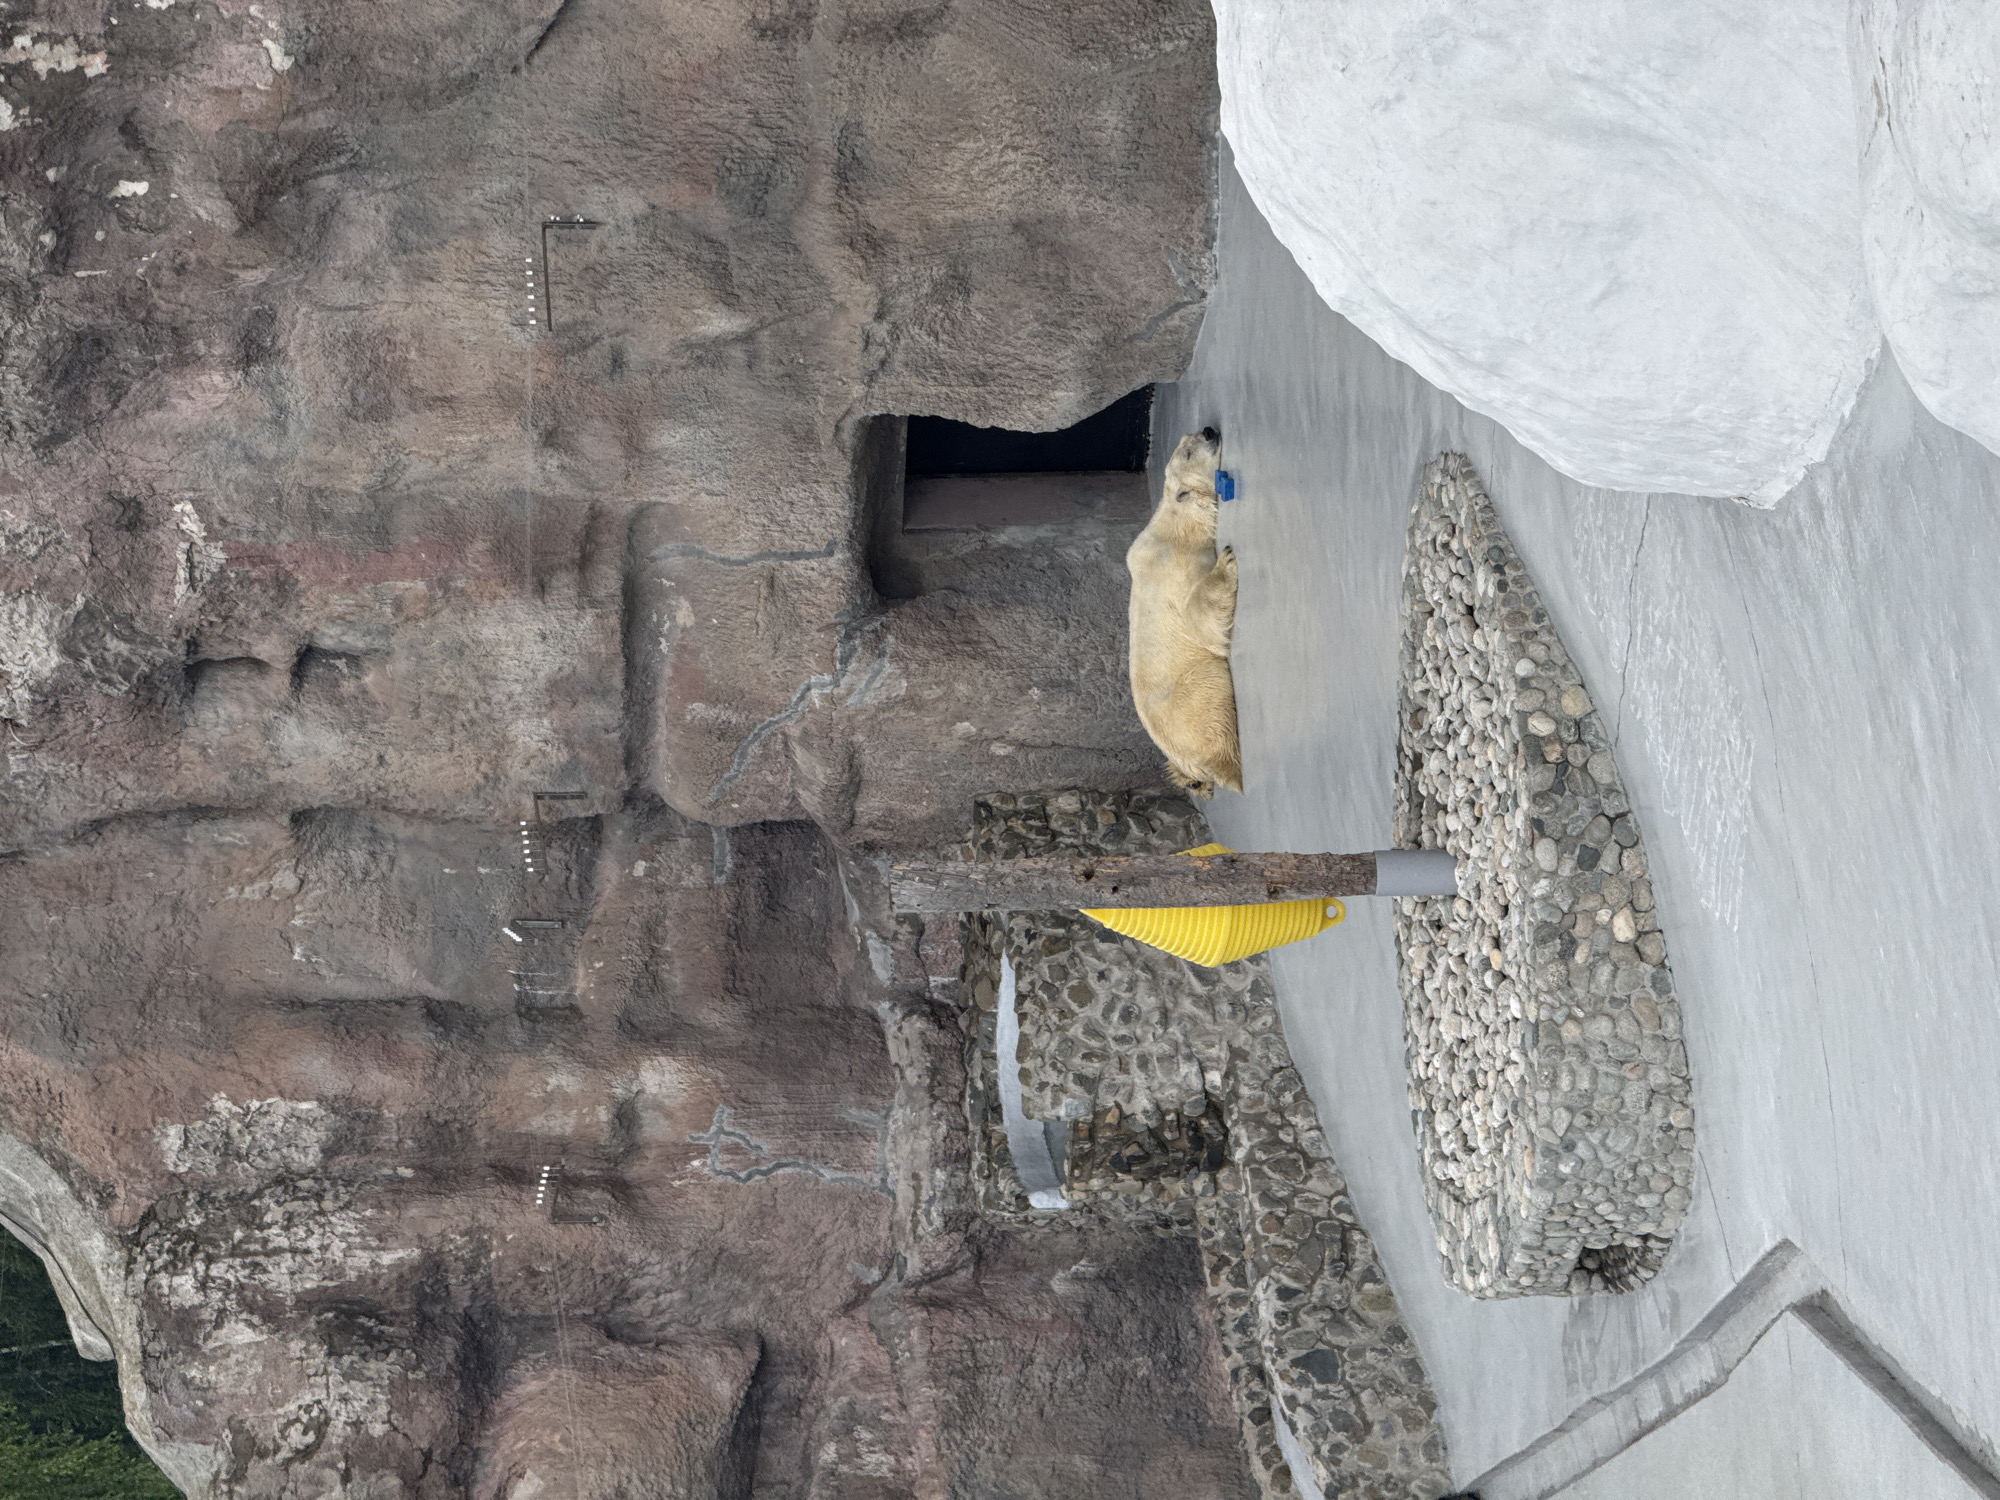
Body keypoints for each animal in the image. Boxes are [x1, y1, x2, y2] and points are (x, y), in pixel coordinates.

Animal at [1126, 427, 1242, 795]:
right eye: (1188, 453)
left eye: (1189, 436)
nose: (1209, 430)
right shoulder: (1177, 569)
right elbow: (1200, 619)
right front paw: (1227, 561)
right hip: (1195, 695)